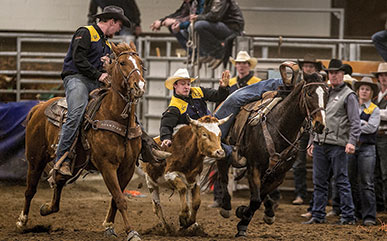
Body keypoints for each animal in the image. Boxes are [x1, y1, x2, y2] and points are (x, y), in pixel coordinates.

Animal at [15, 42, 146, 241]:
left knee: (58, 182)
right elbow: (120, 199)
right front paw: (131, 232)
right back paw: (22, 221)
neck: (115, 116)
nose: (139, 86)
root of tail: (39, 107)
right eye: (123, 62)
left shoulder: (127, 168)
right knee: (30, 190)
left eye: (140, 62)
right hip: (35, 159)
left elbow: (115, 199)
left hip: (70, 163)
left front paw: (109, 226)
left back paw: (46, 208)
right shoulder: (107, 166)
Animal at [217, 69, 328, 237]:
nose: (320, 125)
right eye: (309, 93)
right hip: (223, 150)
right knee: (223, 175)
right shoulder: (254, 167)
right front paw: (242, 220)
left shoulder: (279, 174)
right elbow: (256, 199)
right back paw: (225, 206)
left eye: (327, 94)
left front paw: (245, 215)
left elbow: (259, 197)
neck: (279, 127)